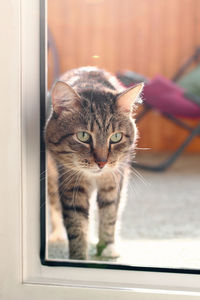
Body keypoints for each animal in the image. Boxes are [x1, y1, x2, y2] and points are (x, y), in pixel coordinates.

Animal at [45, 67, 143, 258]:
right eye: (83, 136)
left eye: (116, 137)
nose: (102, 162)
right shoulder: (71, 183)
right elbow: (76, 224)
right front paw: (78, 257)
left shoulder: (113, 180)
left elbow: (109, 214)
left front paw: (107, 247)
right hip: (52, 177)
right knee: (54, 206)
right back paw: (58, 234)